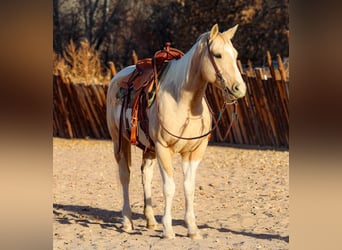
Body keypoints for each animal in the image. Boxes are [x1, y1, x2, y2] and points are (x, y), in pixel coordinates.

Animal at [106, 23, 246, 240]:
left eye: (235, 54)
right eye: (218, 55)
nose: (239, 89)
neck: (184, 101)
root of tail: (118, 77)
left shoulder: (194, 152)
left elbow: (188, 187)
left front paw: (192, 229)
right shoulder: (164, 148)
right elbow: (169, 188)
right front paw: (168, 230)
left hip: (149, 148)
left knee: (146, 175)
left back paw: (150, 220)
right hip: (119, 142)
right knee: (125, 176)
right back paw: (127, 221)